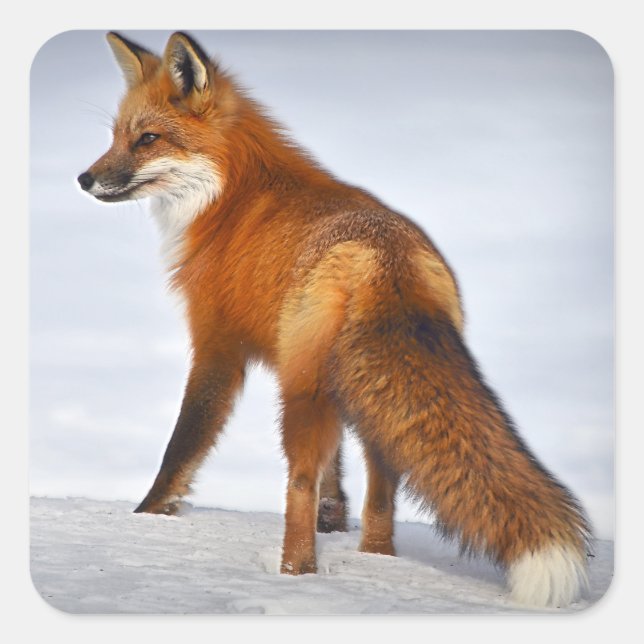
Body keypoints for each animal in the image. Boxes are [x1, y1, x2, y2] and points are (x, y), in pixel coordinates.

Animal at [78, 31, 592, 608]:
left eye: (147, 139)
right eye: (115, 136)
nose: (84, 178)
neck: (230, 198)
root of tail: (386, 258)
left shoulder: (217, 344)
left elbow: (184, 443)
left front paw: (147, 516)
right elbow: (336, 476)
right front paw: (335, 521)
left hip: (302, 392)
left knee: (298, 483)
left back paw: (294, 574)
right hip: (359, 393)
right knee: (382, 490)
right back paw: (375, 560)